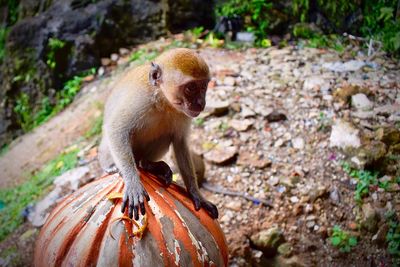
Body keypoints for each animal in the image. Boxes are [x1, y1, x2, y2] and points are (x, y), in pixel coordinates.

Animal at [99, 48, 219, 222]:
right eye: (190, 88)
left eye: (203, 86)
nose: (200, 103)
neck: (163, 100)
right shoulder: (140, 99)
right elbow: (117, 129)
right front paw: (133, 183)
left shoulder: (182, 113)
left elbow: (179, 142)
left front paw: (196, 193)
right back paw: (114, 168)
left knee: (165, 136)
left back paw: (147, 165)